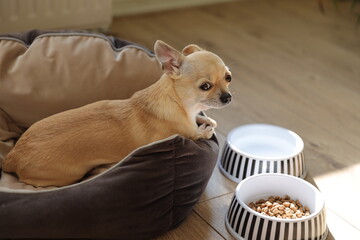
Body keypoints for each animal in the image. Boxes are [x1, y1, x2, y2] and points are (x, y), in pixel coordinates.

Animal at [2, 40, 233, 187]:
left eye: (228, 78)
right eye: (205, 86)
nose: (228, 97)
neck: (181, 105)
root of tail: (11, 156)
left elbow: (203, 119)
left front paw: (204, 119)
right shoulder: (186, 133)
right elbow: (200, 132)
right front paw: (205, 128)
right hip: (67, 175)